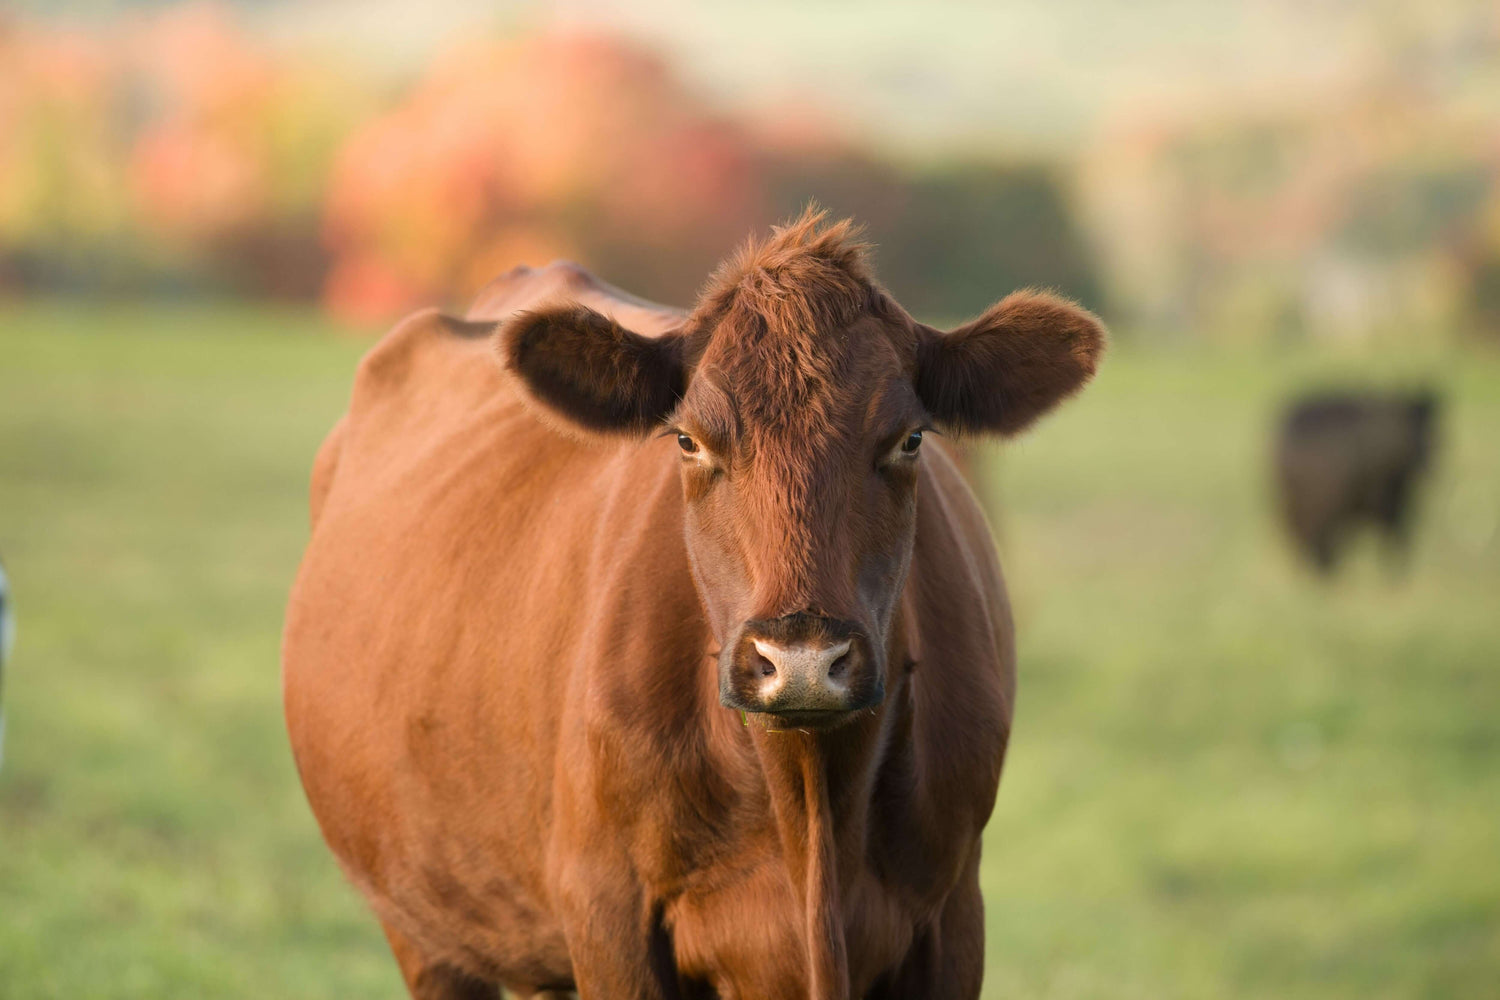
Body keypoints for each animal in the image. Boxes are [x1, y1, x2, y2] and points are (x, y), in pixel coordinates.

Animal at [283, 206, 1104, 995]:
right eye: (687, 440)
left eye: (909, 440)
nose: (801, 659)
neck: (808, 811)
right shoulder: (608, 916)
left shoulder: (954, 913)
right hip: (422, 928)